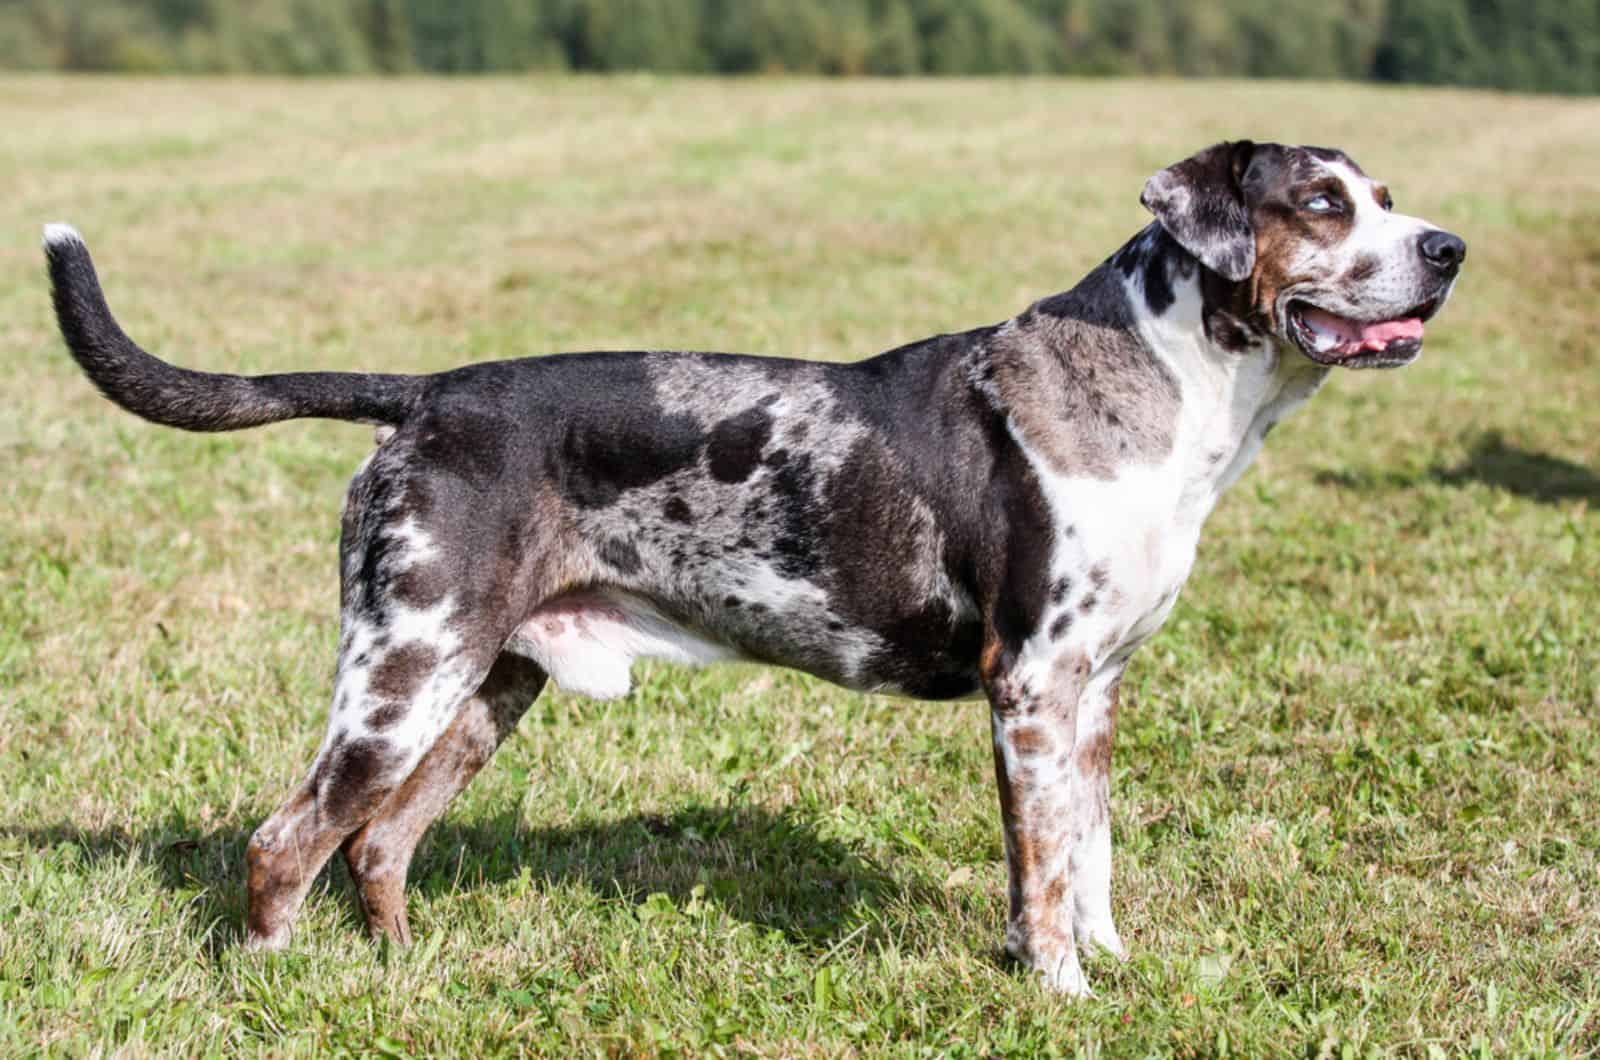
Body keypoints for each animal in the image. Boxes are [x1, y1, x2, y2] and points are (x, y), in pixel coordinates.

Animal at [40, 139, 1465, 999]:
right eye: (1322, 205)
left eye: (1387, 196)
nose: (1448, 248)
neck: (1178, 391)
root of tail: (426, 392)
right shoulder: (1031, 688)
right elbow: (1043, 873)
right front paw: (1061, 990)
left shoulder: (1098, 689)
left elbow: (1093, 851)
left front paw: (1111, 964)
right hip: (403, 669)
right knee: (287, 840)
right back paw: (278, 987)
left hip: (487, 682)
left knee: (380, 843)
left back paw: (402, 977)